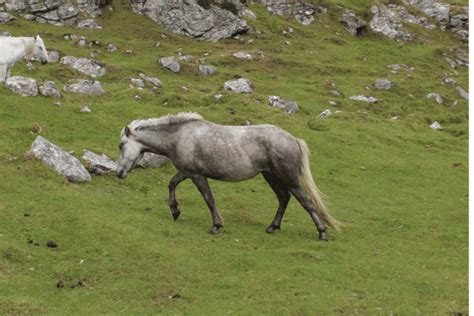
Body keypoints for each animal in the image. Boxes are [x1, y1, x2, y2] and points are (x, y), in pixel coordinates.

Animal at [118, 112, 340, 241]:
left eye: (121, 145)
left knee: (305, 200)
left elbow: (209, 199)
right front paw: (175, 211)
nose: (119, 172)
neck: (180, 136)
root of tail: (293, 139)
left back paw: (321, 232)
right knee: (284, 198)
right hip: (271, 177)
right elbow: (172, 184)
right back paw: (272, 227)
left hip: (288, 179)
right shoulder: (187, 172)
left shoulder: (197, 175)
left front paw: (216, 226)